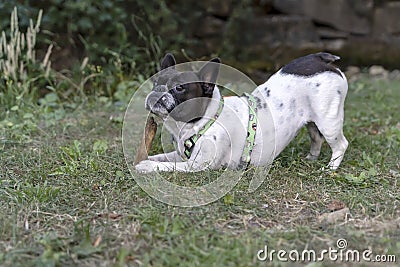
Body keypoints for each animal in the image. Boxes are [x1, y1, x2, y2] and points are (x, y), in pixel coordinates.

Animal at [134, 52, 346, 174]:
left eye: (179, 88)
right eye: (155, 82)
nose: (157, 91)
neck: (205, 121)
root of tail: (322, 59)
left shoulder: (197, 165)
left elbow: (168, 165)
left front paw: (146, 166)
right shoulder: (182, 155)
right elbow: (163, 157)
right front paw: (146, 159)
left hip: (328, 120)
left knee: (340, 145)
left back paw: (330, 168)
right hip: (313, 121)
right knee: (316, 138)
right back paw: (311, 158)